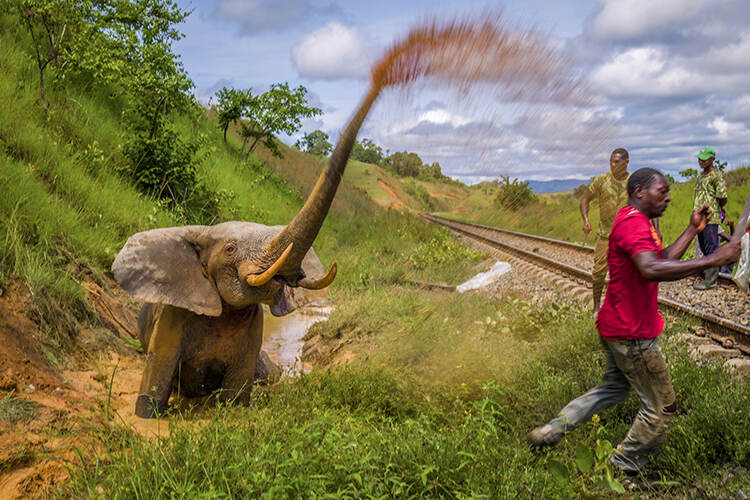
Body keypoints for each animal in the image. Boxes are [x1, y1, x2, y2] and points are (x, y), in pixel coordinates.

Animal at [113, 86, 382, 418]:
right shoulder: (173, 316)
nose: (379, 81)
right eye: (230, 249)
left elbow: (237, 396)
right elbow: (156, 378)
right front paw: (147, 417)